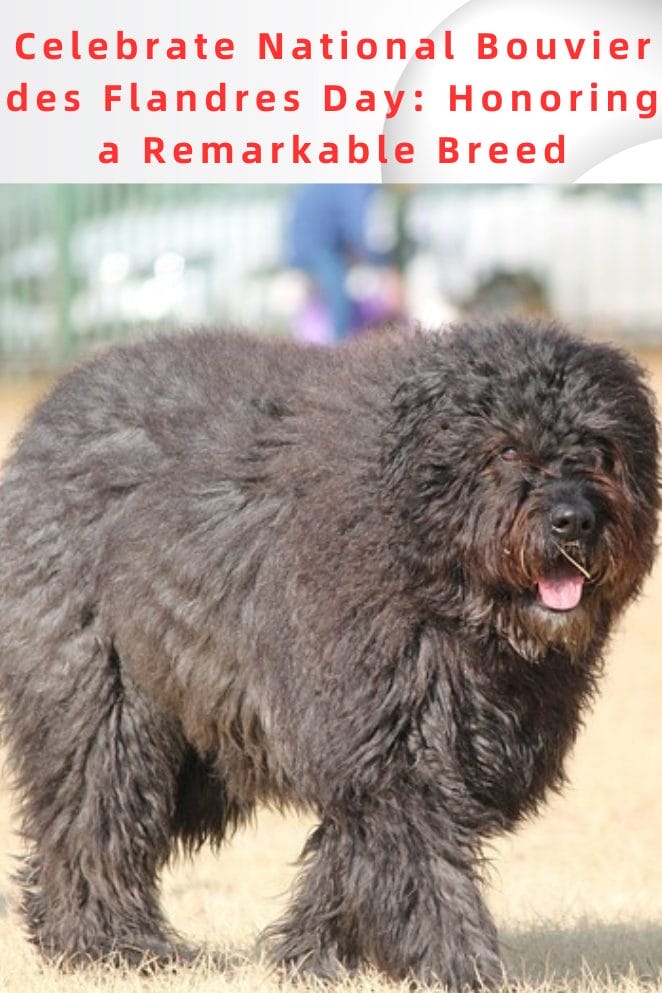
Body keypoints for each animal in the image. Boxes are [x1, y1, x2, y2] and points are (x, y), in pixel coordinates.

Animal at [0, 322, 660, 988]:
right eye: (505, 450)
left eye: (600, 448)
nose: (573, 519)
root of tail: (54, 409)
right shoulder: (393, 752)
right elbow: (420, 872)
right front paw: (461, 967)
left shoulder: (412, 750)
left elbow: (352, 861)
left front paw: (308, 955)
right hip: (100, 700)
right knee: (91, 815)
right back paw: (110, 945)